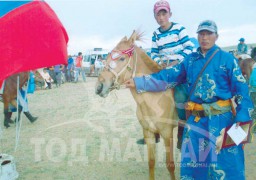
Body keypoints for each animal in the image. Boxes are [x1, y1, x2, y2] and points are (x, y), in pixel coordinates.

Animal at [95, 30, 178, 179]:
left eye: (122, 59)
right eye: (107, 57)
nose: (99, 87)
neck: (154, 97)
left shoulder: (167, 133)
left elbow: (170, 165)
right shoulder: (148, 132)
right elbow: (151, 162)